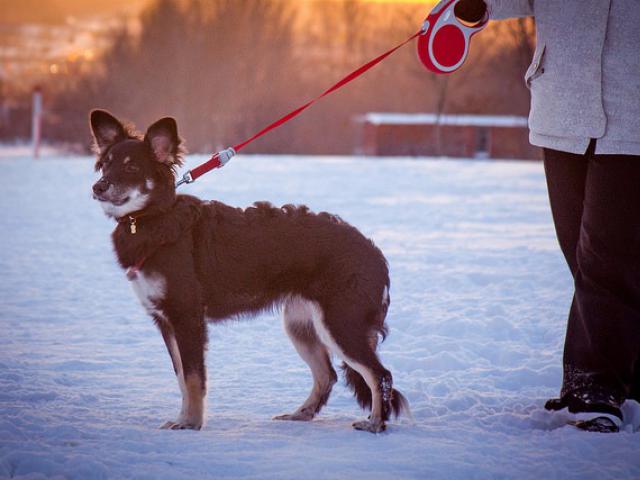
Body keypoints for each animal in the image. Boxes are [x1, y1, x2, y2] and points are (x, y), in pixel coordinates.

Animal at [90, 110, 410, 434]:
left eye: (131, 166)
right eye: (105, 164)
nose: (98, 187)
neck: (151, 218)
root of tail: (373, 251)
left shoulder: (186, 317)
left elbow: (193, 378)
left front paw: (191, 423)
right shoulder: (166, 321)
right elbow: (181, 377)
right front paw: (185, 418)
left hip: (340, 324)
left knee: (380, 375)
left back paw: (375, 423)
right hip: (300, 325)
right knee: (327, 375)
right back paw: (301, 414)